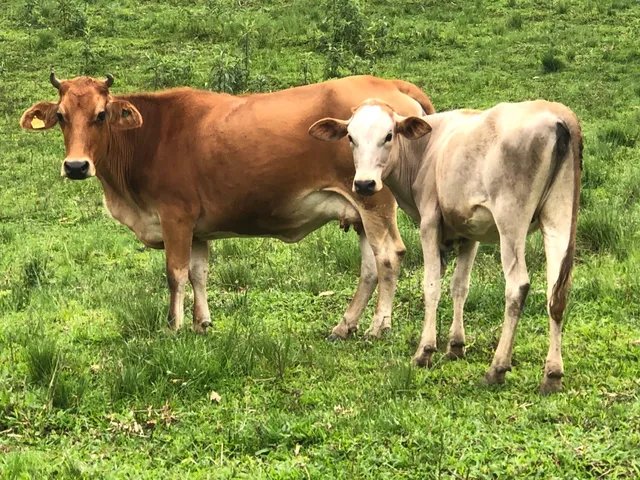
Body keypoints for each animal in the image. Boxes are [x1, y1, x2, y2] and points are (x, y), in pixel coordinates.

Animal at [20, 73, 435, 339]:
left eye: (101, 114)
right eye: (61, 116)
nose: (76, 166)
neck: (148, 138)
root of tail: (387, 84)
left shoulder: (175, 216)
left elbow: (176, 274)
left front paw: (174, 327)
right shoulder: (197, 228)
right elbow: (199, 274)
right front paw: (202, 323)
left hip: (374, 199)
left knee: (389, 256)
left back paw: (379, 326)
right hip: (359, 207)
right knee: (369, 268)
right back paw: (344, 325)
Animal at [309, 99, 582, 393]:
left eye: (389, 135)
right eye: (351, 137)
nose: (364, 184)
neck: (427, 149)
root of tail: (556, 114)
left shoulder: (430, 222)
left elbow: (431, 285)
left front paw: (425, 351)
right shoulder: (469, 231)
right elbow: (459, 286)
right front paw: (455, 346)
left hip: (511, 220)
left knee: (517, 286)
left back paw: (497, 368)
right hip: (559, 217)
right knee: (556, 292)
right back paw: (552, 375)